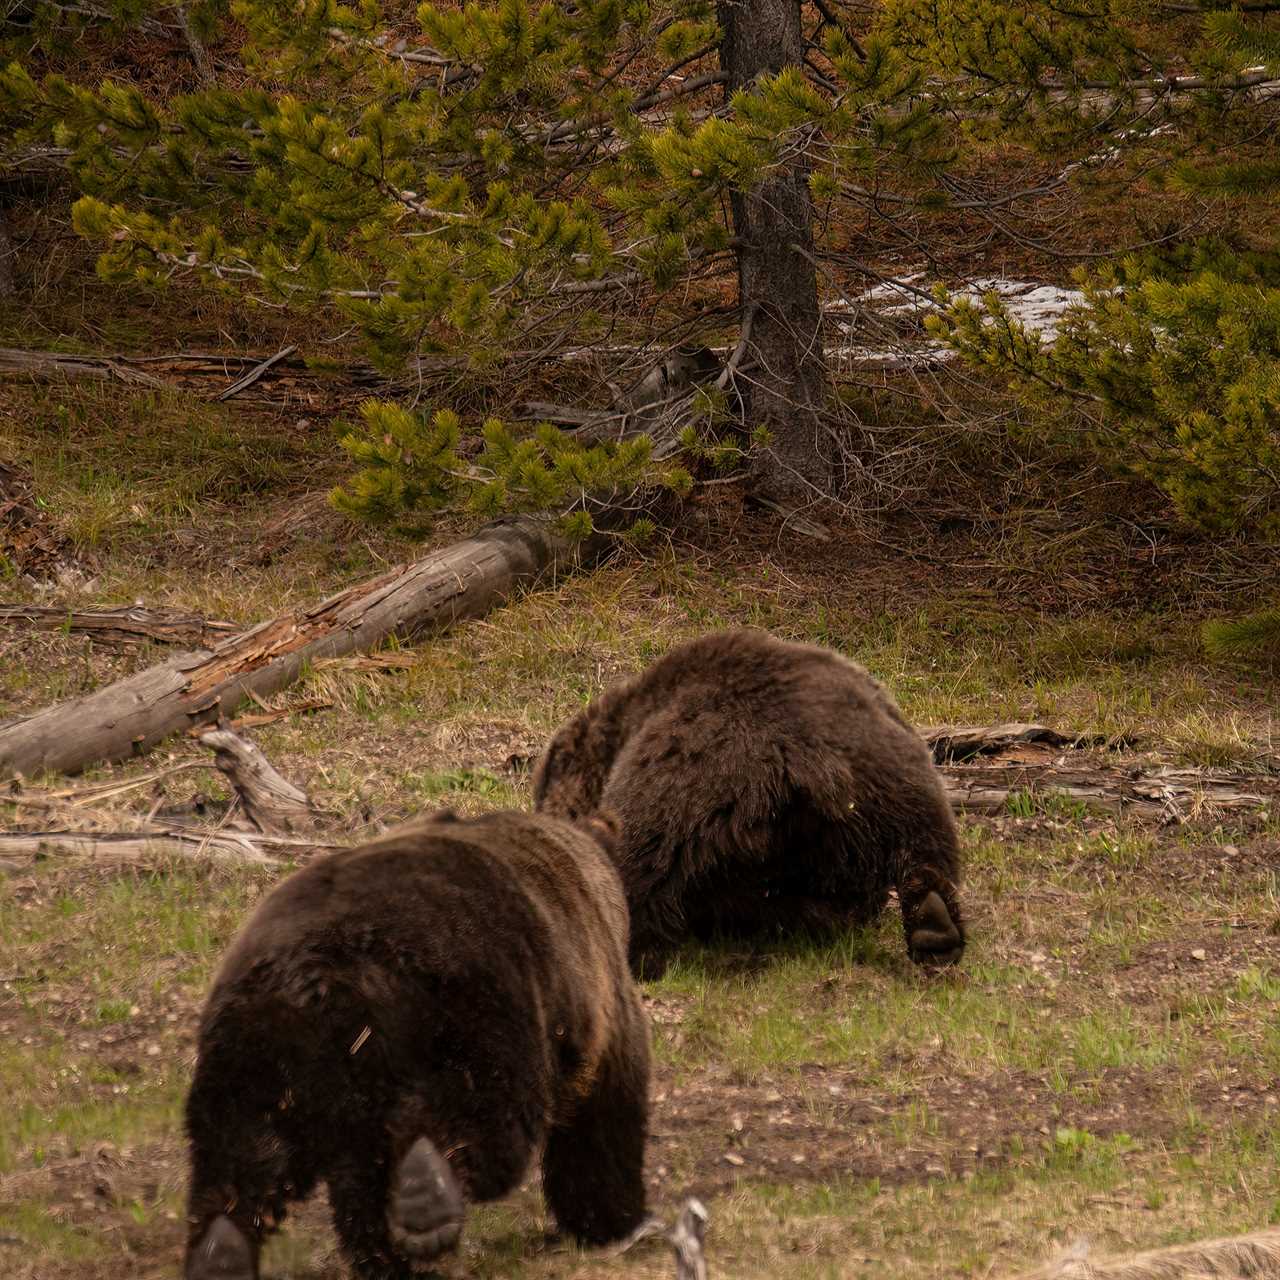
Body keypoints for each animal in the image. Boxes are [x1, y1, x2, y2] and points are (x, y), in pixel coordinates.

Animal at [183, 808, 650, 1280]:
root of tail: (312, 974)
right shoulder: (592, 994)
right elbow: (605, 1113)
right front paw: (617, 1223)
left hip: (252, 1048)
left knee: (244, 1153)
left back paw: (223, 1250)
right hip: (460, 1009)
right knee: (481, 1119)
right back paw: (425, 1196)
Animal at [529, 624, 962, 972]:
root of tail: (810, 760)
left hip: (686, 793)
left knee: (639, 865)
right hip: (887, 768)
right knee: (924, 838)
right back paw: (933, 928)